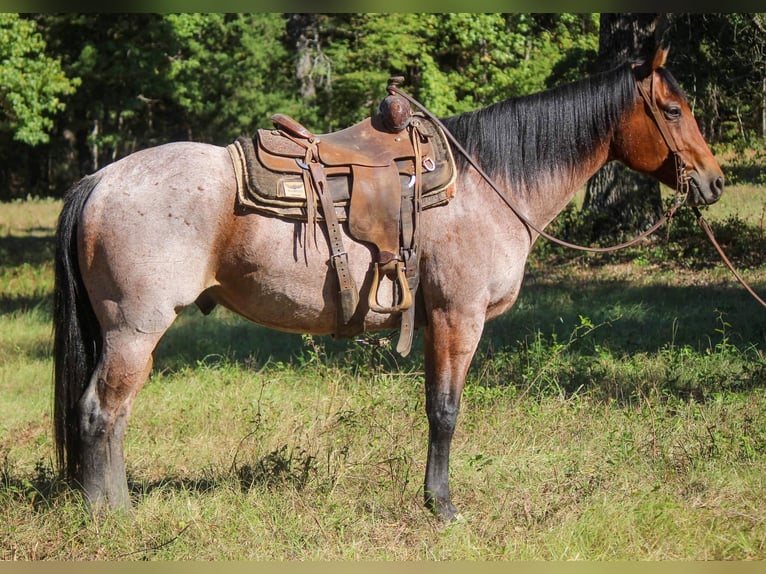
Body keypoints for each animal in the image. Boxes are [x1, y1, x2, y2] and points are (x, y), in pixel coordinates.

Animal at [52, 45, 728, 520]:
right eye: (673, 110)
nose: (714, 181)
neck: (487, 185)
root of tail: (101, 180)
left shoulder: (438, 321)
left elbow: (436, 407)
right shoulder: (458, 317)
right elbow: (445, 410)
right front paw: (442, 506)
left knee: (111, 416)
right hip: (135, 330)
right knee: (99, 412)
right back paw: (110, 517)